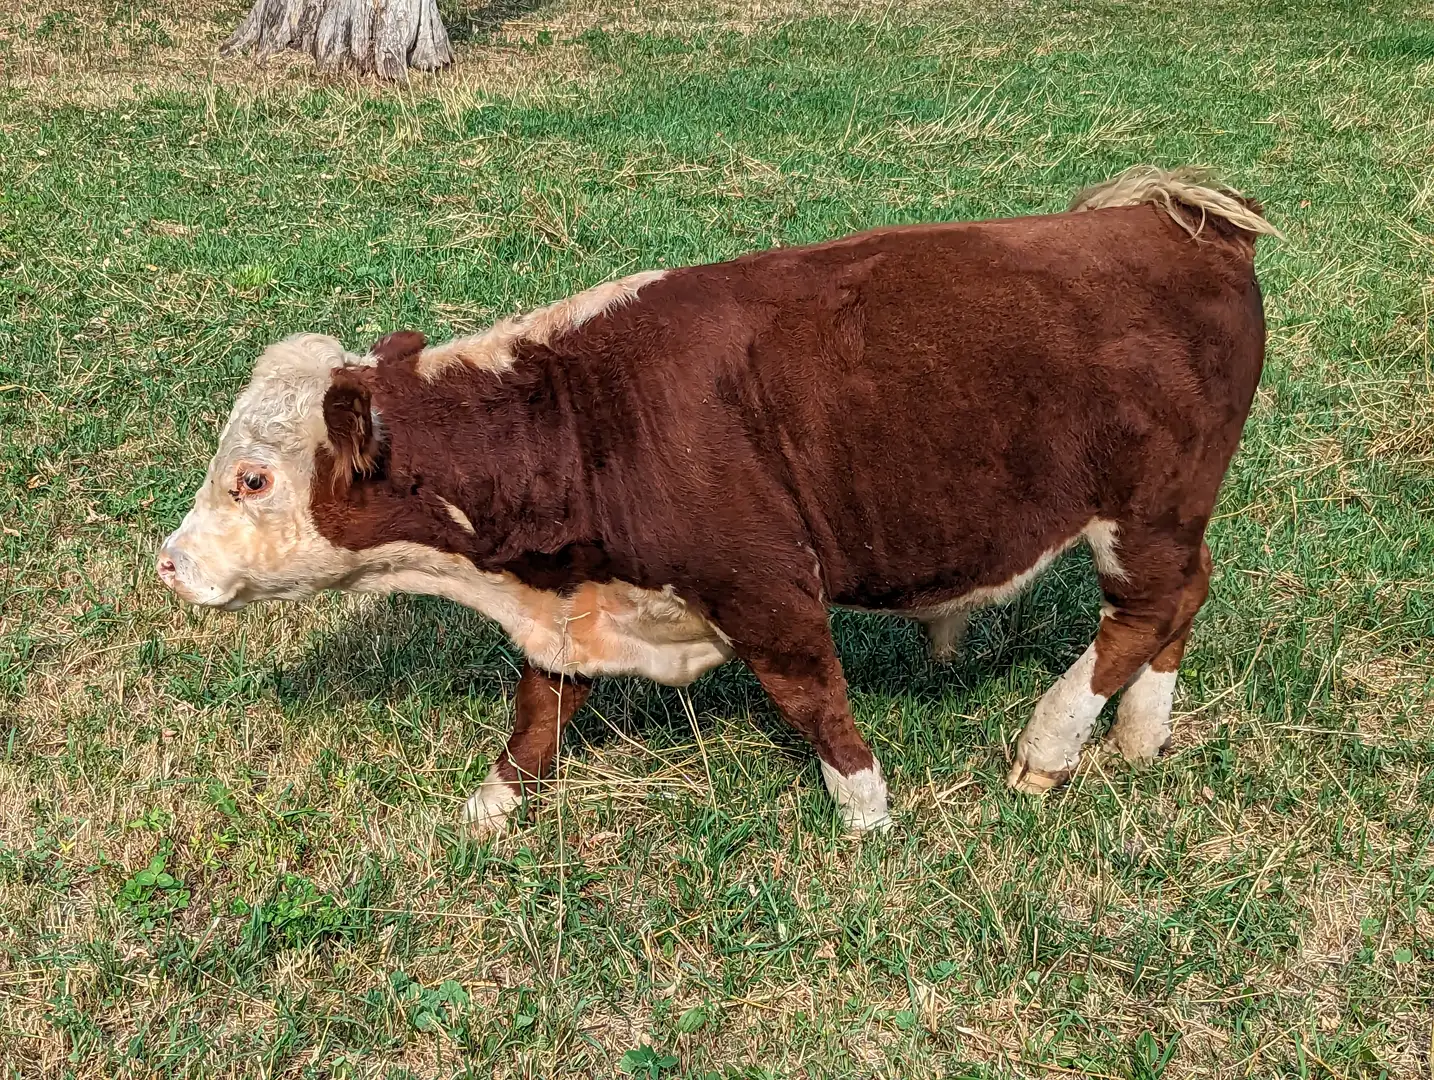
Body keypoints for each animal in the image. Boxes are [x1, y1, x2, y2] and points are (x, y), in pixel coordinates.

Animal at [157, 166, 1278, 834]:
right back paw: (1139, 736)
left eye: (253, 477)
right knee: (1183, 599)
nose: (168, 561)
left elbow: (814, 695)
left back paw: (1050, 747)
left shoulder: (767, 584)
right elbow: (539, 708)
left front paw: (867, 813)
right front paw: (490, 808)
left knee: (1142, 610)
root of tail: (1169, 220)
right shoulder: (574, 604)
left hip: (1148, 509)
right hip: (1173, 516)